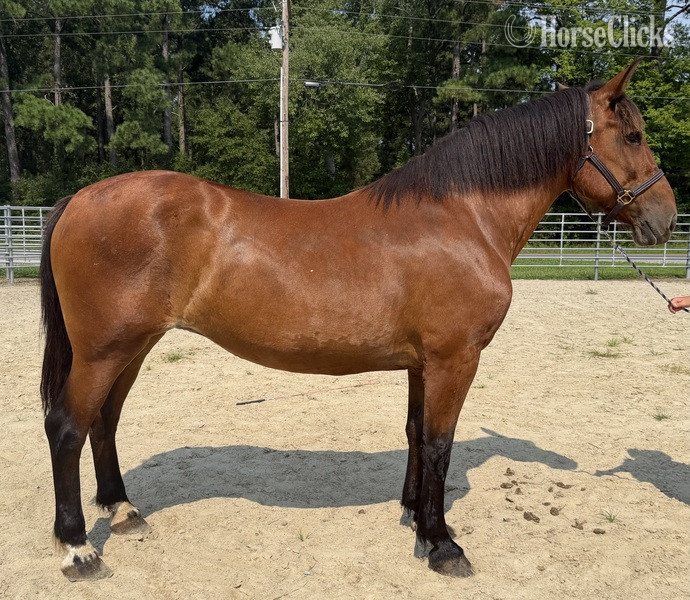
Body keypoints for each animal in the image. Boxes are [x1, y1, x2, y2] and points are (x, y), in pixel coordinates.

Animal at [40, 60, 677, 581]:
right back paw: (78, 549)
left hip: (132, 347)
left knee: (104, 421)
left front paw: (415, 519)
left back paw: (123, 510)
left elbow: (417, 434)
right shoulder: (455, 359)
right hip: (104, 349)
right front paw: (443, 546)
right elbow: (441, 443)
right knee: (68, 426)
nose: (666, 218)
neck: (462, 218)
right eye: (634, 135)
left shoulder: (424, 363)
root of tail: (80, 199)